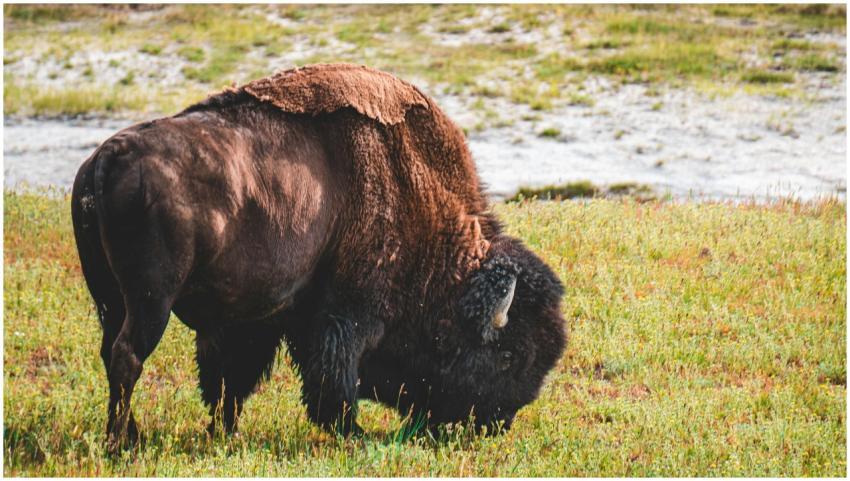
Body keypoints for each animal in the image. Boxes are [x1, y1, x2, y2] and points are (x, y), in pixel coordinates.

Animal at [71, 63, 567, 453]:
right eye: (507, 355)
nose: (496, 423)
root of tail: (106, 158)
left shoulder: (257, 318)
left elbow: (230, 377)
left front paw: (226, 432)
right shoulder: (347, 315)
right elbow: (332, 378)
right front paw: (354, 433)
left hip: (109, 298)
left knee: (110, 352)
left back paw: (132, 435)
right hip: (150, 300)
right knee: (127, 356)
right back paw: (121, 444)